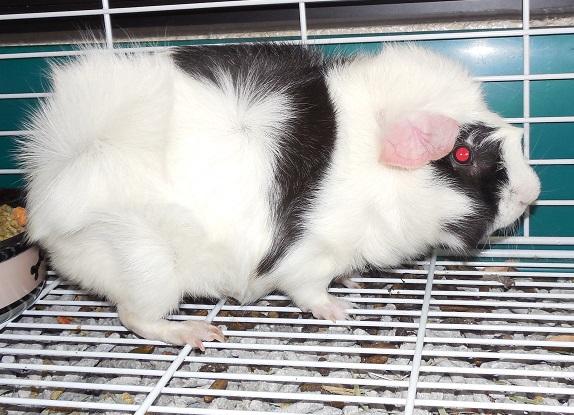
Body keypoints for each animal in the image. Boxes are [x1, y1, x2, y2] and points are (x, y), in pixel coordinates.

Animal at [18, 43, 540, 349]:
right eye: (461, 153)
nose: (532, 192)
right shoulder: (309, 258)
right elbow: (309, 290)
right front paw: (341, 310)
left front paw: (352, 284)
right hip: (150, 269)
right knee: (136, 318)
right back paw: (202, 333)